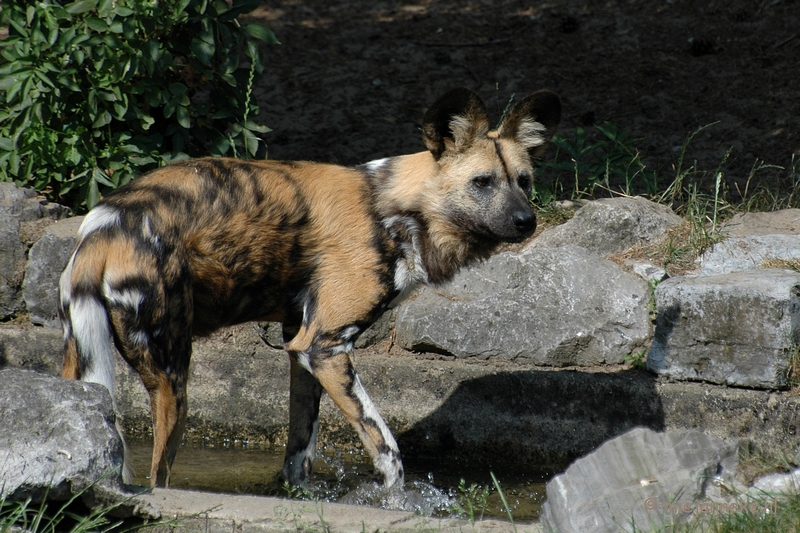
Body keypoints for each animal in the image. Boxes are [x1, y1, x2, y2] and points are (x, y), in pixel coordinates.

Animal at [59, 86, 560, 486]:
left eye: (524, 181)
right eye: (482, 182)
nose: (527, 221)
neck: (399, 213)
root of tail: (106, 226)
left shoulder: (299, 347)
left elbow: (300, 450)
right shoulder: (325, 347)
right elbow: (387, 449)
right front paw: (398, 502)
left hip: (79, 371)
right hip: (171, 376)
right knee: (159, 475)